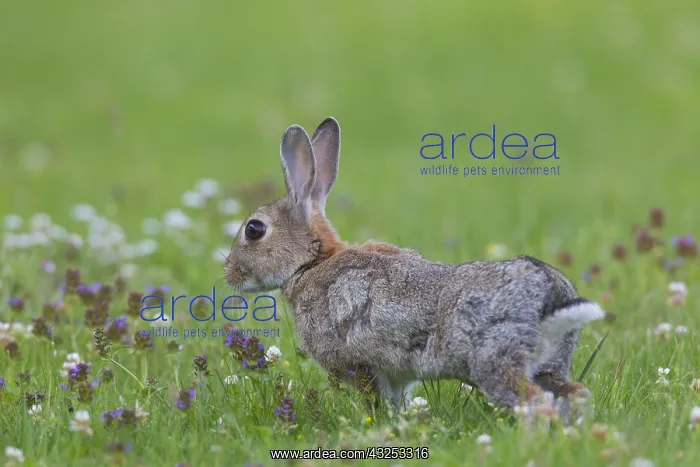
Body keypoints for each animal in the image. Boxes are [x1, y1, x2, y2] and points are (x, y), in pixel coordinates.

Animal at [224, 116, 614, 412]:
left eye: (254, 230)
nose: (229, 274)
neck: (311, 262)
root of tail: (553, 297)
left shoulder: (361, 364)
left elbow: (375, 400)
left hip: (495, 357)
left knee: (535, 403)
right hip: (548, 364)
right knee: (575, 394)